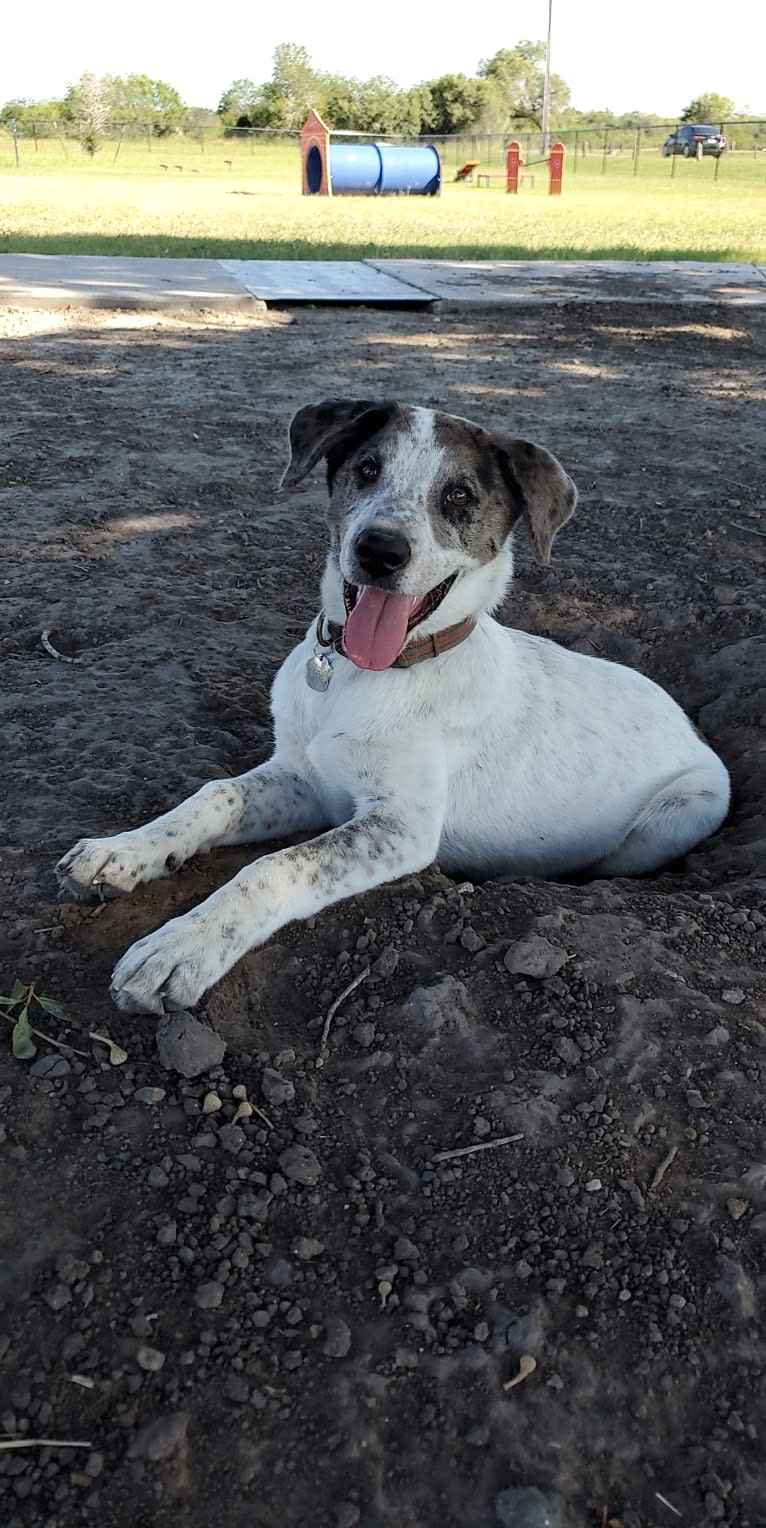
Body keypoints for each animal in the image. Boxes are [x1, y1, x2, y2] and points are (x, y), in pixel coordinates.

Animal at [55, 403, 727, 1014]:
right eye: (368, 469)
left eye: (458, 496)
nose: (380, 550)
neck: (362, 675)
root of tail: (686, 722)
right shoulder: (305, 778)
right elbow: (212, 795)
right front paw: (122, 852)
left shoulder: (398, 828)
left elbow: (275, 866)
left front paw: (180, 948)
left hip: (681, 812)